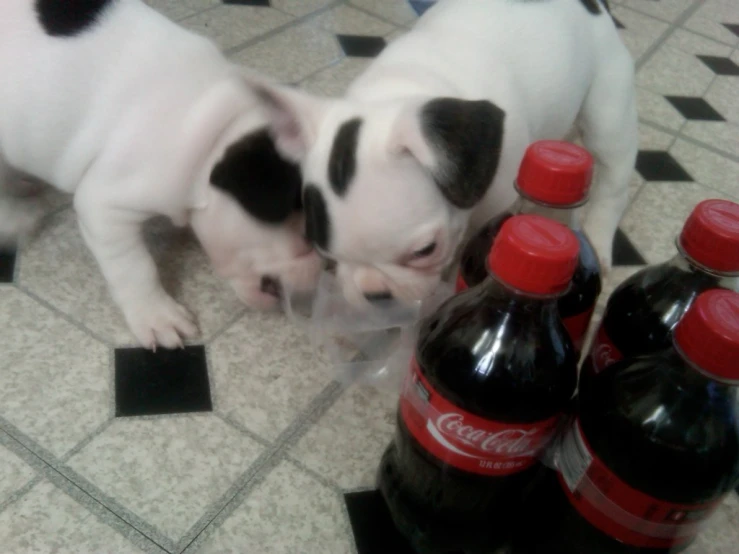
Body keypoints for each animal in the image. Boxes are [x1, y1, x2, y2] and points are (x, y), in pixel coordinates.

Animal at [0, 0, 320, 344]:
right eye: (308, 237)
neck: (218, 133)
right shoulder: (107, 207)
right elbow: (135, 268)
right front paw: (156, 315)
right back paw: (16, 219)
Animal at [251, 0, 640, 304]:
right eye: (328, 256)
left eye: (425, 251)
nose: (375, 294)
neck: (400, 92)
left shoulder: (493, 206)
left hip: (608, 103)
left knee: (612, 177)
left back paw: (598, 241)